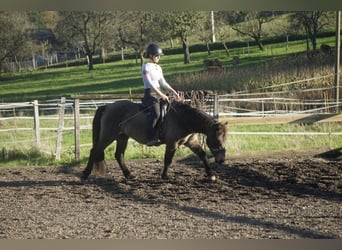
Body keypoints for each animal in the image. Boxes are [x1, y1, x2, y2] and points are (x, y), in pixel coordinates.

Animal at [81, 100, 227, 182]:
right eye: (217, 140)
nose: (221, 160)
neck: (183, 119)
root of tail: (107, 106)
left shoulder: (190, 142)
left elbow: (202, 154)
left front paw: (211, 175)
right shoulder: (172, 143)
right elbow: (168, 160)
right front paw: (165, 176)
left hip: (122, 137)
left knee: (119, 155)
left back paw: (129, 175)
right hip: (108, 136)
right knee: (95, 151)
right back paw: (85, 174)